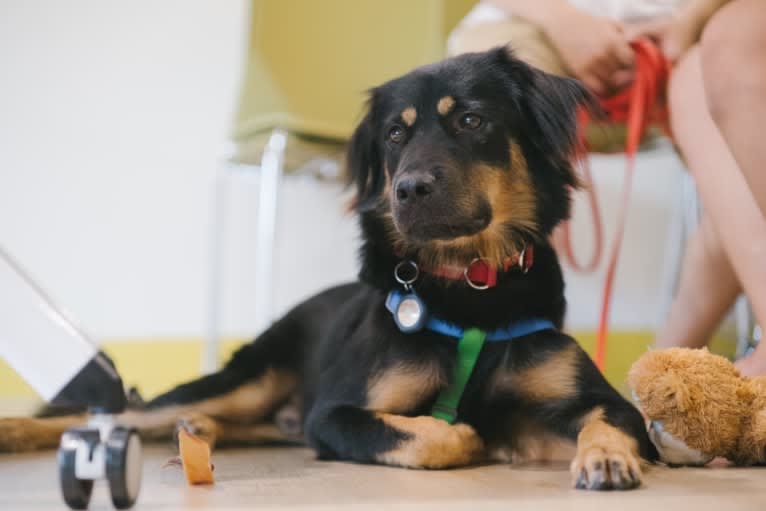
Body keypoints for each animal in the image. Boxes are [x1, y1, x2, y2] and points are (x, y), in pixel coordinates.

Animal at [1, 48, 660, 492]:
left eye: (471, 120)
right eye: (395, 134)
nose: (408, 190)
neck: (468, 286)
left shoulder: (589, 401)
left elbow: (612, 419)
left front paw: (605, 457)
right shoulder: (336, 413)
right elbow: (423, 434)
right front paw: (465, 436)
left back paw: (199, 431)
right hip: (249, 379)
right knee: (118, 412)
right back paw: (20, 431)